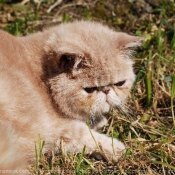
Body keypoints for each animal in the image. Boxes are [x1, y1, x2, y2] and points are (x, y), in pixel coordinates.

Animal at [0, 20, 142, 174]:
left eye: (119, 83)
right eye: (90, 89)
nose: (106, 90)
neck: (42, 81)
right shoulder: (51, 128)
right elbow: (84, 135)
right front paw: (115, 148)